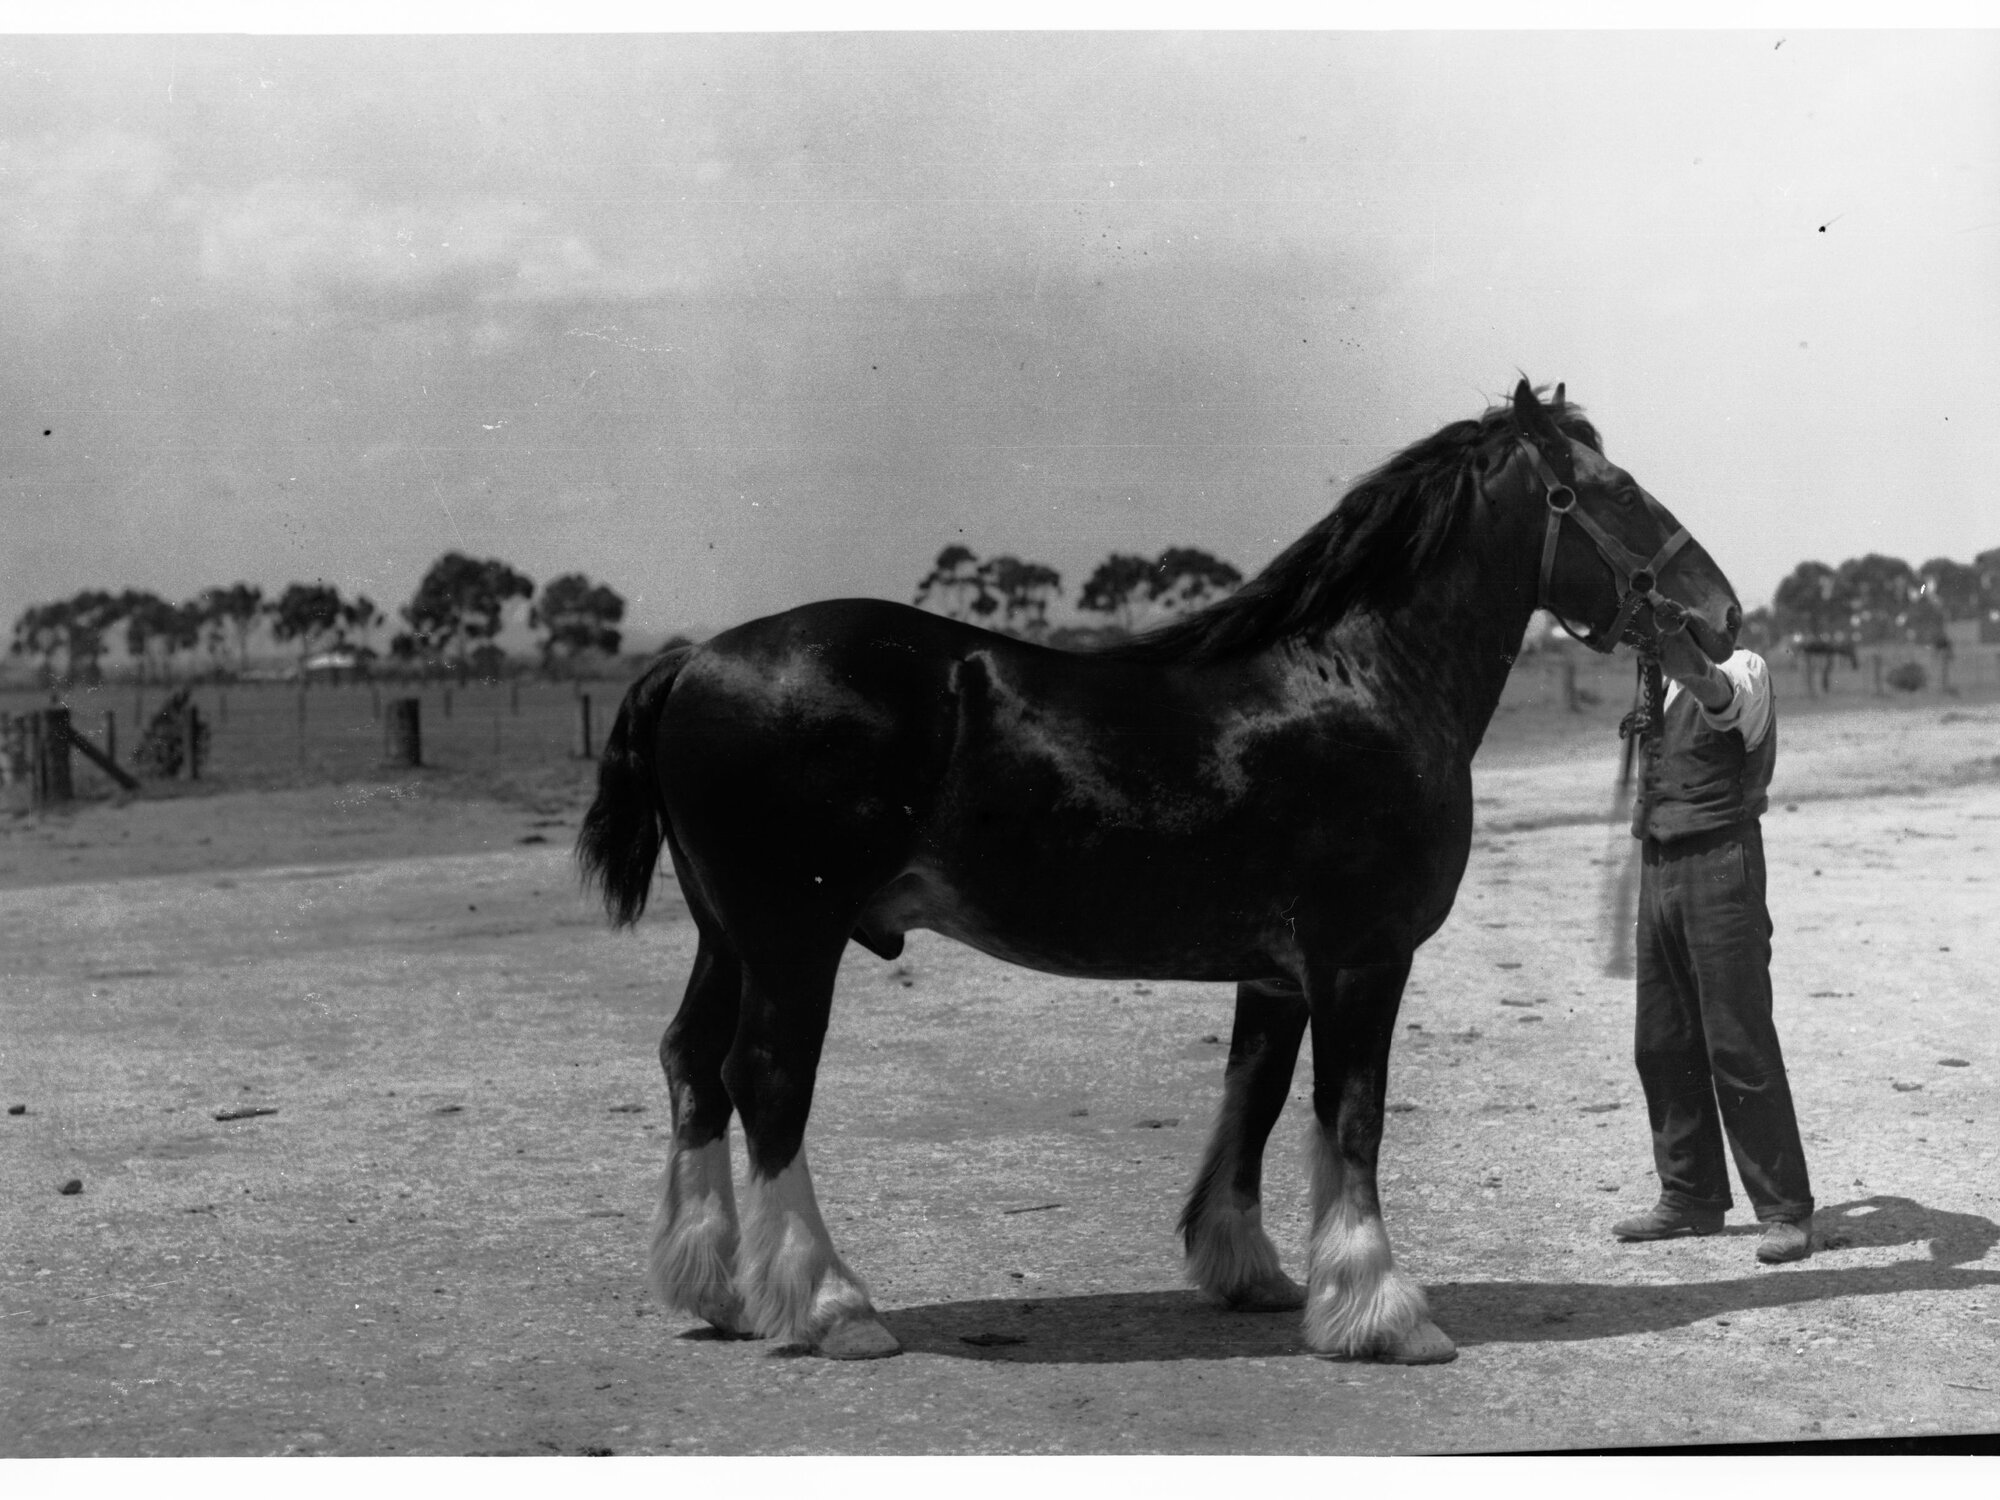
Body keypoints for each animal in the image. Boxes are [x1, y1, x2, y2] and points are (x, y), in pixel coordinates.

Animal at [576, 379, 1741, 1366]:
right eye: (1613, 490)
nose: (1720, 613)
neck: (1362, 681)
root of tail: (695, 658)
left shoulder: (1276, 975)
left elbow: (1253, 1104)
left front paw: (1253, 1274)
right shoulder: (1361, 962)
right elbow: (1352, 1118)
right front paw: (1381, 1310)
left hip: (731, 935)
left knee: (692, 1064)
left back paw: (717, 1289)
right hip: (793, 939)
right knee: (766, 1081)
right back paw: (830, 1306)